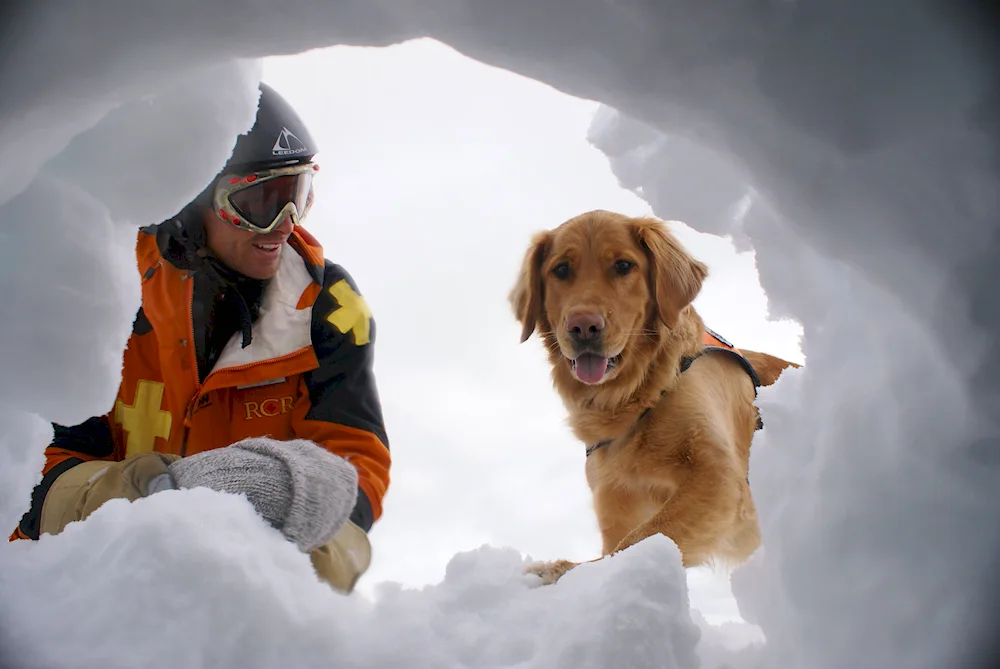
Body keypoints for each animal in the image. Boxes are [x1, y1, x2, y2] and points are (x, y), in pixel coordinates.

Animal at [508, 210, 796, 584]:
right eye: (561, 269)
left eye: (623, 265)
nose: (583, 327)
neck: (639, 397)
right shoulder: (616, 501)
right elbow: (620, 544)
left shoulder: (719, 475)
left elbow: (638, 541)